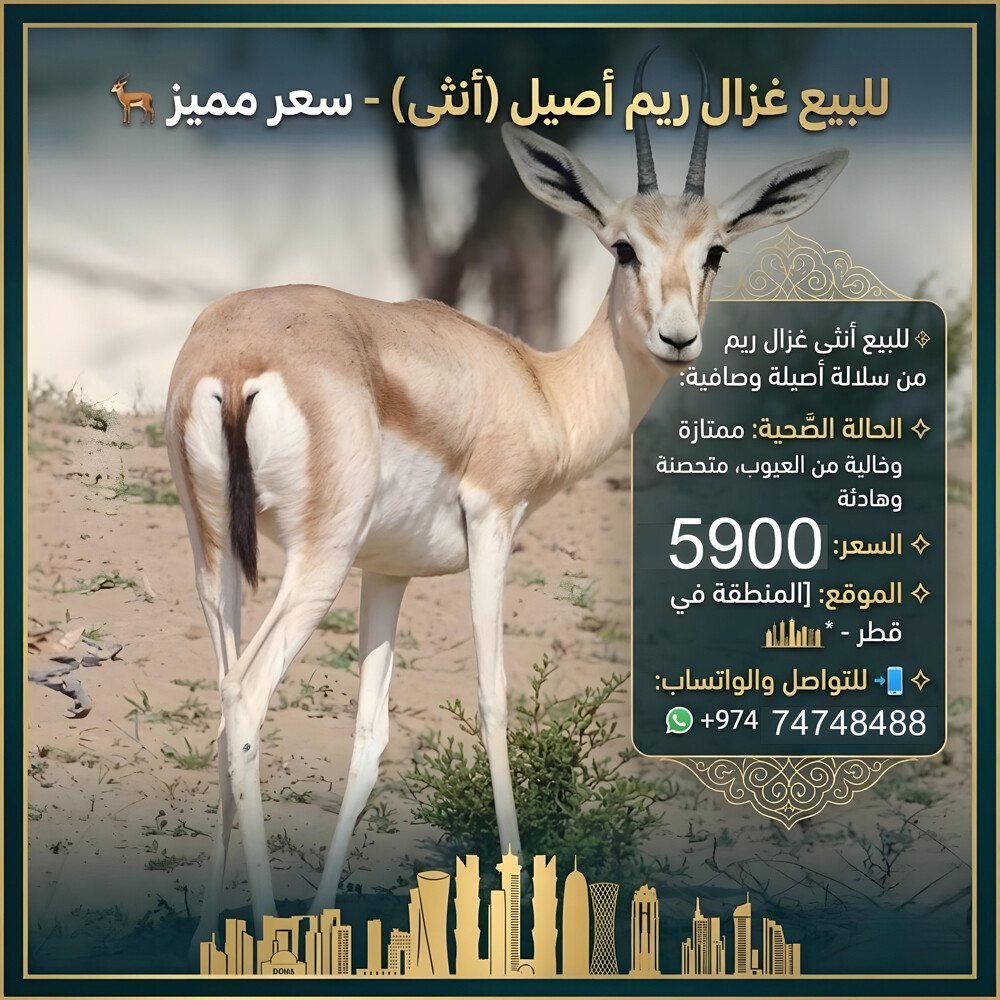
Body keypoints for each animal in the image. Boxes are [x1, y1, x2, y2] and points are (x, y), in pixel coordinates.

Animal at [165, 56, 847, 950]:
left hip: (215, 559)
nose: (677, 337)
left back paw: (211, 937)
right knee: (246, 701)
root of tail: (238, 356)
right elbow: (493, 702)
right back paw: (265, 929)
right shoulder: (491, 522)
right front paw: (522, 903)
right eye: (624, 247)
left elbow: (371, 737)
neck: (535, 385)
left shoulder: (388, 573)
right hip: (316, 563)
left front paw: (324, 922)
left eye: (717, 253)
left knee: (221, 703)